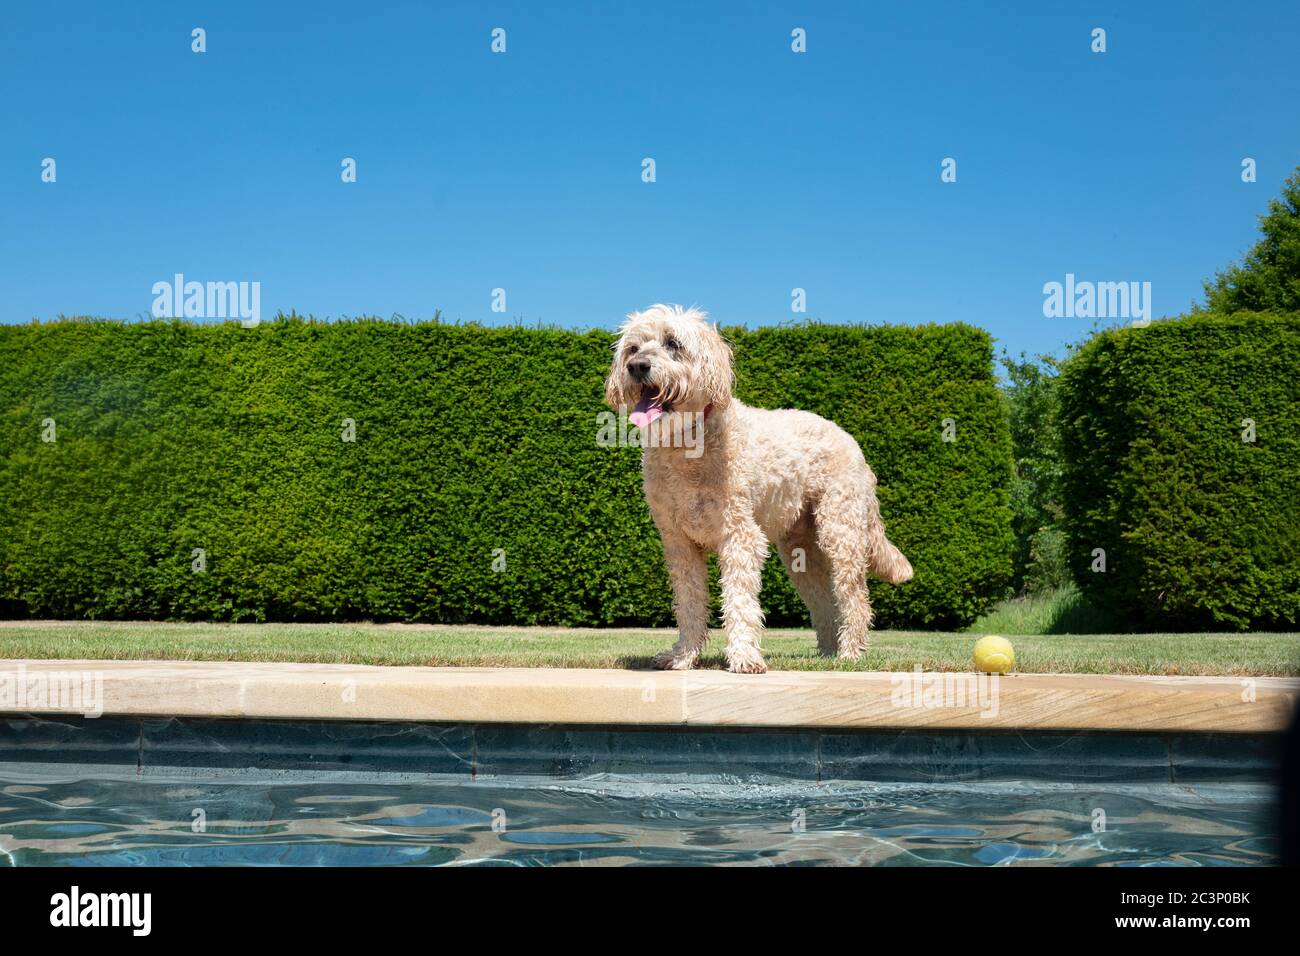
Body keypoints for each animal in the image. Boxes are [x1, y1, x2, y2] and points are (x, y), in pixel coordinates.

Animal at [600, 304, 915, 671]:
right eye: (633, 348)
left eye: (673, 343)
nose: (637, 366)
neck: (688, 445)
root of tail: (850, 440)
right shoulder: (679, 543)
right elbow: (690, 603)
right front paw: (683, 656)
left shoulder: (739, 535)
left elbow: (739, 600)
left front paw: (744, 657)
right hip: (800, 550)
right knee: (823, 600)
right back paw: (827, 652)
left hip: (841, 533)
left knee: (854, 597)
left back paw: (850, 652)